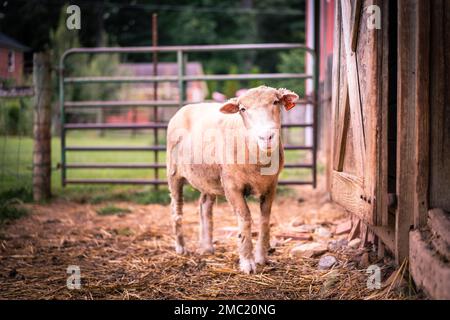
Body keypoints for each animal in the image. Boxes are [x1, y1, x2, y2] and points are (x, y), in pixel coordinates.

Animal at [166, 85, 298, 272]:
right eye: (242, 109)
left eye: (275, 102)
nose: (266, 137)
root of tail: (186, 107)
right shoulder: (232, 186)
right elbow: (245, 219)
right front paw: (247, 262)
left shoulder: (271, 185)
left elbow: (265, 220)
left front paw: (262, 257)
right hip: (174, 172)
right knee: (176, 210)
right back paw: (181, 247)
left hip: (210, 178)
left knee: (204, 206)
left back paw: (207, 247)